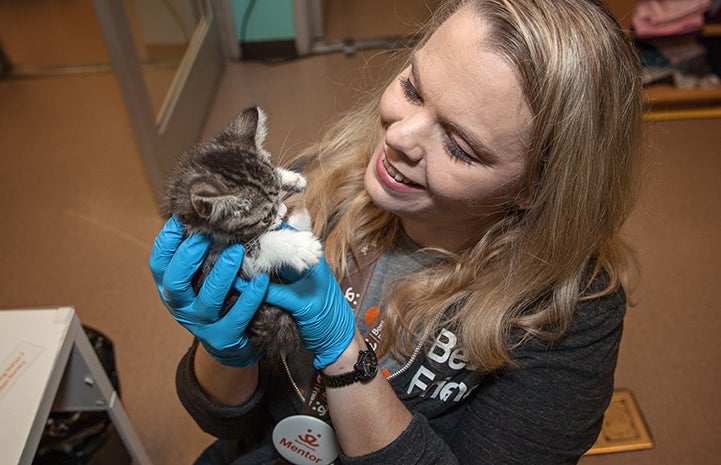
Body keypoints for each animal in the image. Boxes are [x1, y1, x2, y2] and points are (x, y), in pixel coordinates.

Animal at [165, 107, 322, 364]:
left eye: (278, 196)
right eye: (265, 217)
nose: (282, 212)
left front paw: (289, 178)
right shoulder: (216, 264)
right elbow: (257, 248)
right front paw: (298, 248)